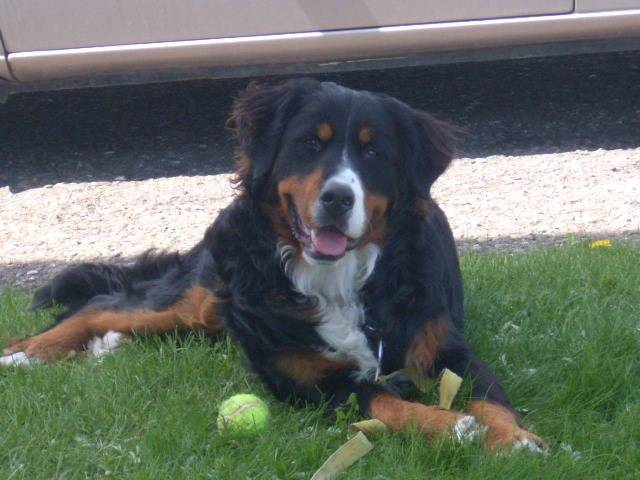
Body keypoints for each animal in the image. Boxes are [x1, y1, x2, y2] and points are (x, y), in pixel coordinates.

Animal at [1, 78, 545, 452]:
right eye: (310, 143)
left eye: (374, 151)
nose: (337, 198)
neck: (341, 281)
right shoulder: (311, 381)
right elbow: (385, 401)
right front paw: (451, 426)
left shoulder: (446, 347)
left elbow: (489, 395)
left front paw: (513, 439)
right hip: (203, 292)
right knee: (100, 304)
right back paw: (25, 352)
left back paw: (105, 345)